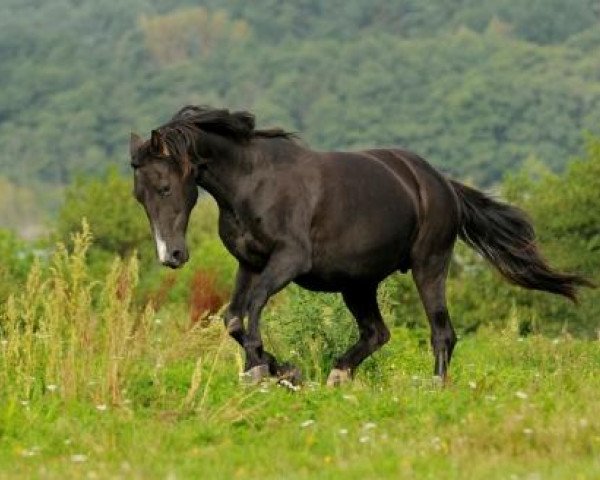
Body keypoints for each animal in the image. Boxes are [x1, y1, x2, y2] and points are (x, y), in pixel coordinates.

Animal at [129, 105, 592, 386]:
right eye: (139, 196)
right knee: (377, 333)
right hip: (358, 284)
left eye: (165, 186)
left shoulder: (288, 261)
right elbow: (233, 320)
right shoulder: (250, 263)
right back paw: (338, 375)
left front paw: (279, 368)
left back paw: (435, 386)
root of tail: (440, 183)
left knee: (442, 332)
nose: (171, 256)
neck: (254, 182)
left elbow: (252, 311)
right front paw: (269, 370)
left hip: (428, 265)